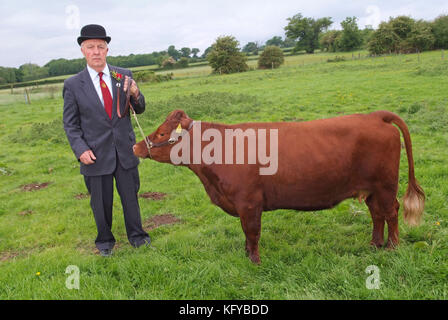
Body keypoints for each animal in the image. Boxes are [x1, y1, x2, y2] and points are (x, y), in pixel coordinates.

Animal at [133, 109, 424, 264]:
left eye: (162, 133)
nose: (136, 146)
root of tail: (375, 115)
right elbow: (246, 234)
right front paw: (246, 255)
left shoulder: (249, 202)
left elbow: (252, 232)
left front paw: (254, 261)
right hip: (372, 190)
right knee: (377, 214)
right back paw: (375, 244)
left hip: (385, 186)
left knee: (391, 212)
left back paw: (392, 247)